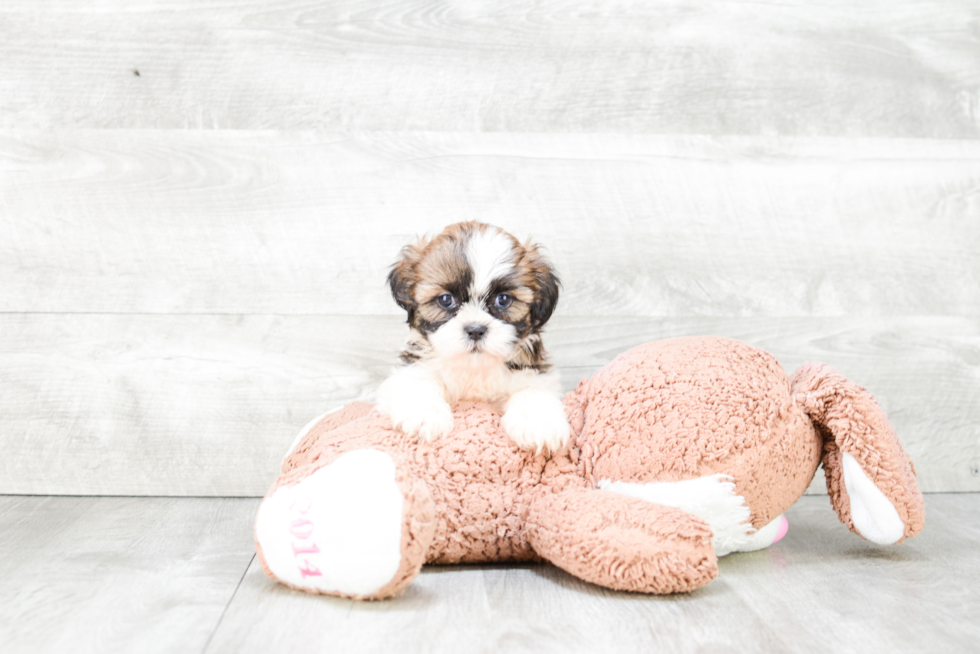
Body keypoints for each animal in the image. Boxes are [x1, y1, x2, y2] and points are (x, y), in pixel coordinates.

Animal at [378, 223, 572, 454]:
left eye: (503, 300)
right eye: (446, 300)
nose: (475, 330)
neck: (474, 368)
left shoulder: (536, 374)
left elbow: (533, 392)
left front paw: (540, 425)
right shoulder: (413, 368)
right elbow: (417, 384)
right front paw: (425, 416)